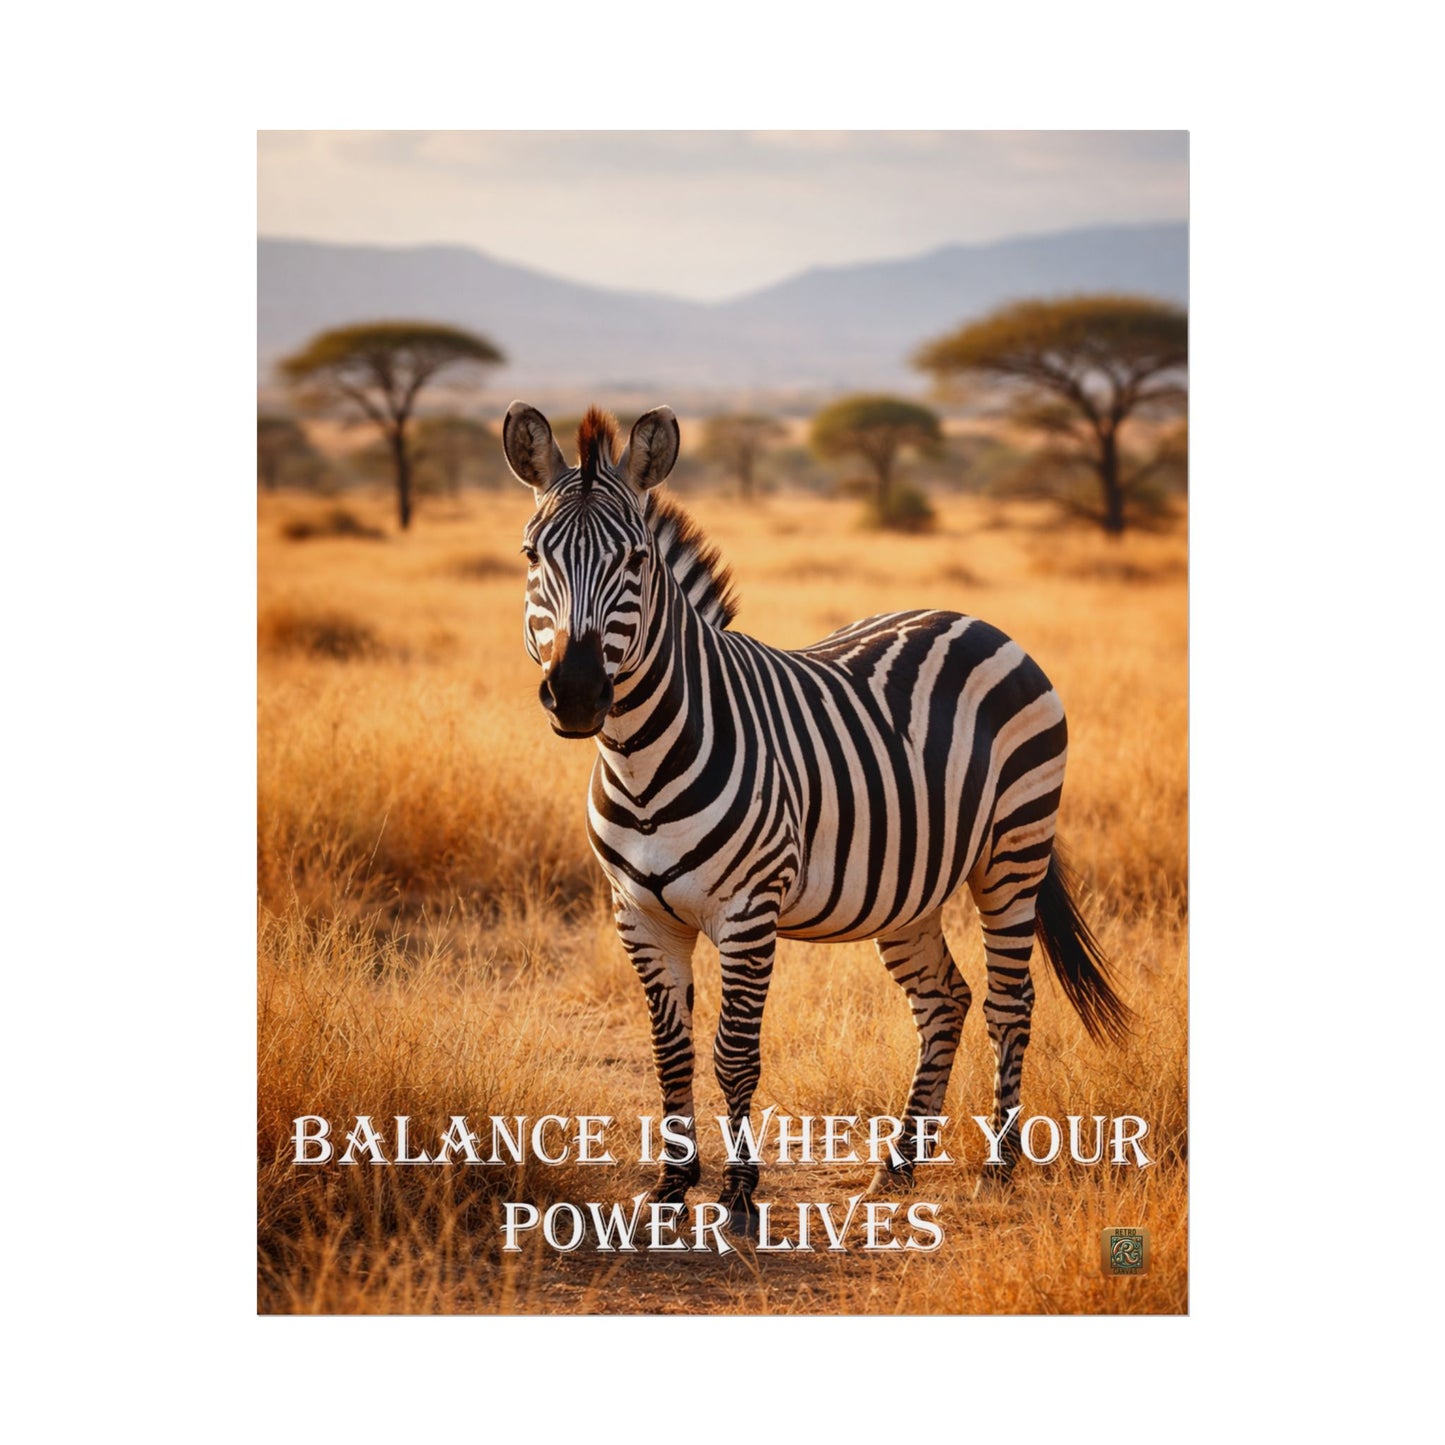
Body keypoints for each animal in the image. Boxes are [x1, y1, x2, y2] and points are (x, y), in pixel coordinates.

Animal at [503, 400, 1131, 1236]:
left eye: (634, 559)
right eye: (531, 555)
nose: (575, 694)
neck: (638, 759)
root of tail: (970, 619)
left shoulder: (747, 909)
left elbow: (733, 1051)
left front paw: (738, 1196)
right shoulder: (637, 912)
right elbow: (669, 1050)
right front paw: (671, 1188)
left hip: (1013, 852)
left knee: (1008, 1001)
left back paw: (998, 1170)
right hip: (907, 890)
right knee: (944, 1000)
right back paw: (897, 1166)